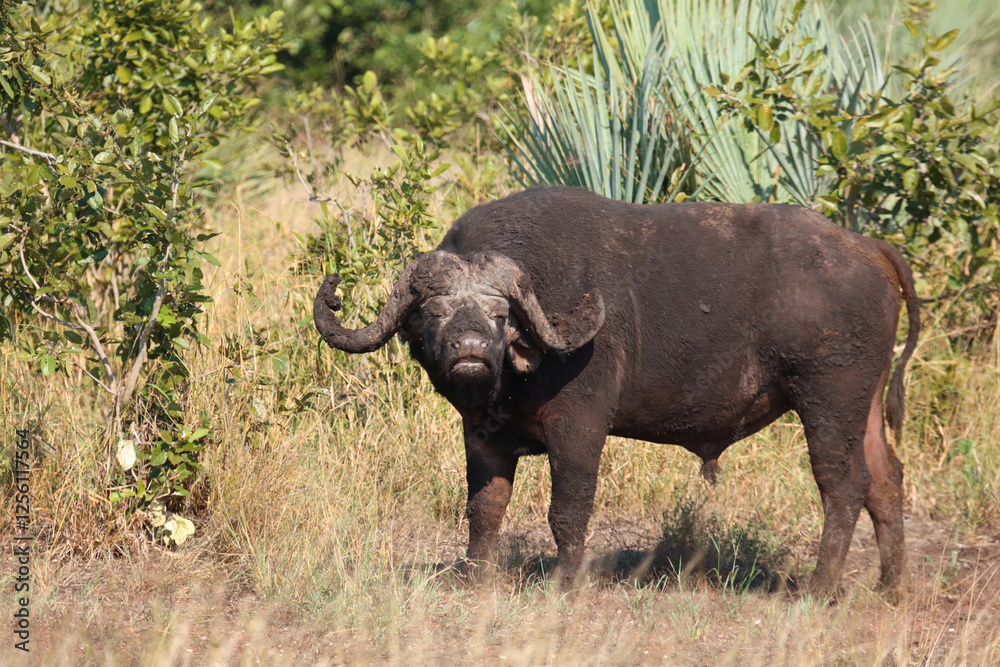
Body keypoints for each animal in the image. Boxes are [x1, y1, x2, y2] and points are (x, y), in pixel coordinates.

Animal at [314, 186, 919, 598]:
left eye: (499, 312)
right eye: (435, 311)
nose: (470, 350)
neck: (521, 365)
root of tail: (864, 246)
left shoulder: (579, 425)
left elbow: (568, 508)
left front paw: (567, 584)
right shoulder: (481, 435)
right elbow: (484, 507)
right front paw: (475, 577)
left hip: (828, 400)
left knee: (844, 485)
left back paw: (819, 588)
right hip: (863, 407)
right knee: (886, 481)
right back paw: (890, 586)